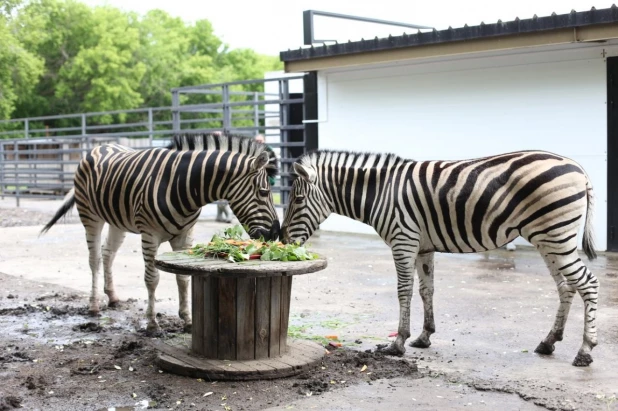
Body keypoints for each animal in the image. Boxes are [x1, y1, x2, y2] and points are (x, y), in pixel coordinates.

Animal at [39, 134, 280, 334]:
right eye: (264, 192)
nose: (275, 234)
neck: (184, 186)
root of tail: (101, 146)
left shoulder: (185, 235)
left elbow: (183, 277)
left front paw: (187, 321)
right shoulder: (149, 234)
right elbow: (152, 279)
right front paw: (152, 324)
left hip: (117, 221)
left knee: (108, 254)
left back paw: (113, 297)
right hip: (90, 216)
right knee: (95, 259)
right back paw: (94, 305)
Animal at [280, 150, 596, 368]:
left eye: (297, 200)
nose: (282, 240)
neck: (380, 192)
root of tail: (579, 169)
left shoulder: (403, 240)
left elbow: (404, 291)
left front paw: (397, 343)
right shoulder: (423, 247)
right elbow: (426, 290)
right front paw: (424, 336)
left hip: (556, 235)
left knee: (588, 284)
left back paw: (585, 350)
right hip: (547, 239)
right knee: (566, 287)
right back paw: (549, 342)